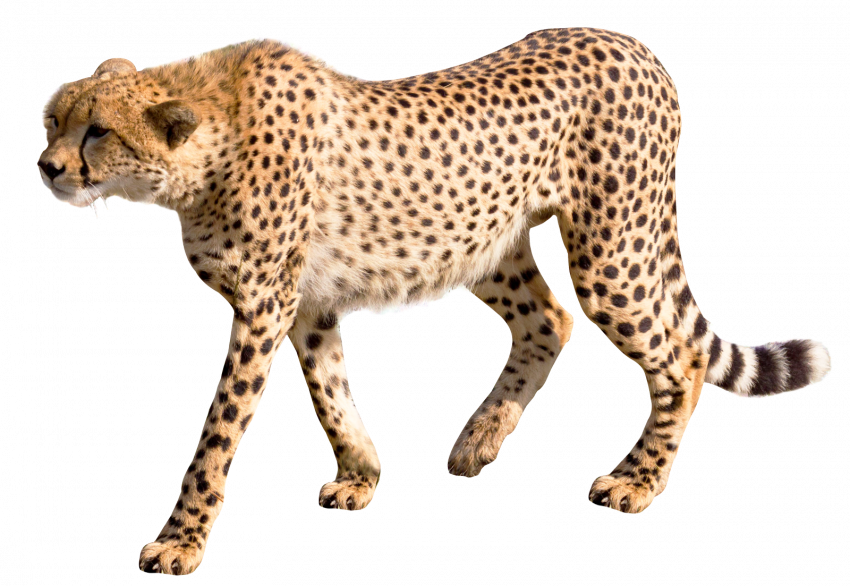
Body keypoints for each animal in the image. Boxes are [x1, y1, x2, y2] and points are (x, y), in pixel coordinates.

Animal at [38, 28, 833, 575]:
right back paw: (480, 440)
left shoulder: (264, 305)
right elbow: (328, 391)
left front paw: (179, 541)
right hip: (483, 242)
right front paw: (361, 473)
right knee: (550, 320)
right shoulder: (307, 304)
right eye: (51, 119)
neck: (206, 137)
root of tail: (633, 45)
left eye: (97, 132)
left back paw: (637, 481)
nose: (45, 167)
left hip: (612, 250)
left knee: (682, 359)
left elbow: (218, 432)